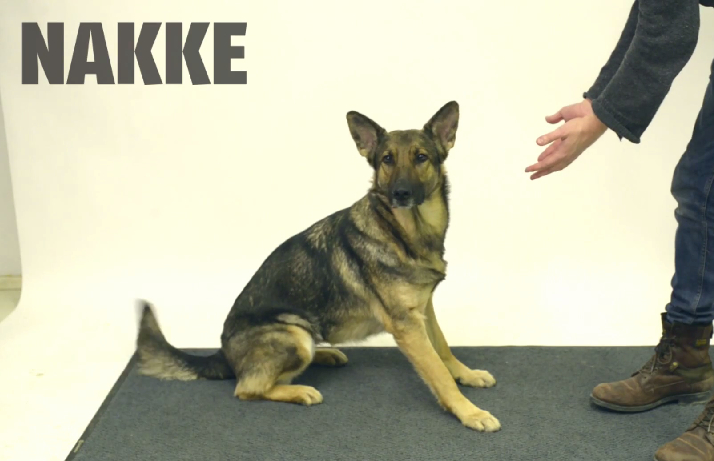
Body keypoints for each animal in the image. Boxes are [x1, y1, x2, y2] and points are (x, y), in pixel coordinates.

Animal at [135, 101, 501, 432]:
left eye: (421, 157)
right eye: (387, 159)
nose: (400, 193)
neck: (405, 232)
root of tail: (223, 353)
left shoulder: (424, 309)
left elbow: (443, 348)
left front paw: (466, 374)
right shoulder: (407, 325)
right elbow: (437, 371)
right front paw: (470, 412)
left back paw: (326, 354)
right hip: (293, 332)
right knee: (247, 387)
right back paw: (299, 390)